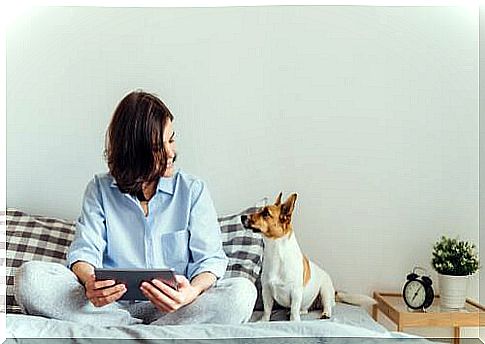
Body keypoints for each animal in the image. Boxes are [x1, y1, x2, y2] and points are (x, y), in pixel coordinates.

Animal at [241, 192, 374, 322]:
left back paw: (325, 313)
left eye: (265, 214)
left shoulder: (295, 292)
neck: (276, 252)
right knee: (304, 310)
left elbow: (294, 311)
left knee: (327, 305)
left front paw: (294, 321)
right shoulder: (267, 291)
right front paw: (264, 321)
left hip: (325, 290)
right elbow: (267, 310)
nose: (242, 217)